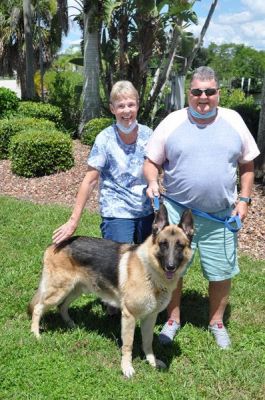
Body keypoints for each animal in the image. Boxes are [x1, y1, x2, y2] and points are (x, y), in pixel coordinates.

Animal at [28, 206, 192, 378]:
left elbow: (148, 342)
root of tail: (55, 245)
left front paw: (152, 362)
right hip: (59, 291)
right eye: (163, 244)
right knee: (38, 308)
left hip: (76, 290)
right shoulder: (129, 316)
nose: (170, 266)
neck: (150, 272)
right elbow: (128, 345)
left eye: (180, 246)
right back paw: (35, 334)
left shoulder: (150, 317)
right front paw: (126, 367)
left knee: (62, 306)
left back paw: (71, 324)